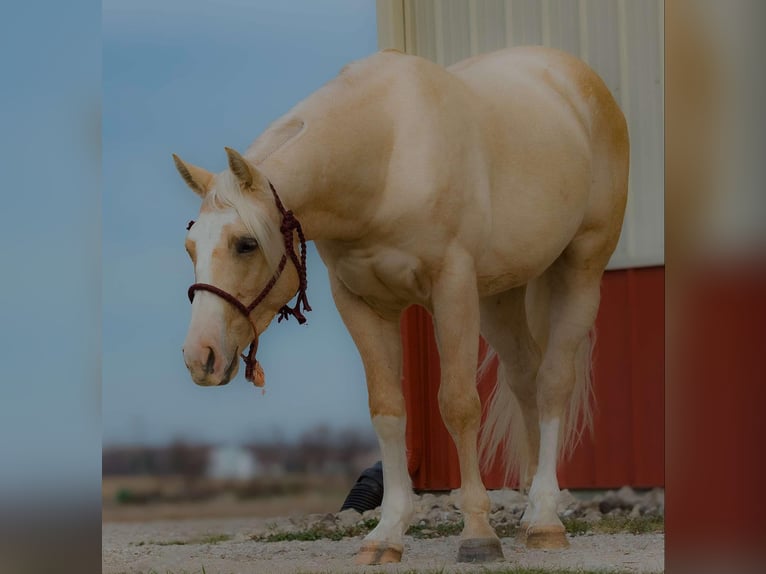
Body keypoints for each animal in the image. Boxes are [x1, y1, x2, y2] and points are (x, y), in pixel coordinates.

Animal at [176, 46, 632, 568]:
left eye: (246, 244)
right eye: (190, 246)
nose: (200, 356)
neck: (387, 159)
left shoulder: (452, 289)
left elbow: (458, 405)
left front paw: (477, 533)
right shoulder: (362, 304)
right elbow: (388, 410)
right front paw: (387, 534)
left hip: (580, 271)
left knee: (554, 382)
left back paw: (545, 521)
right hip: (499, 295)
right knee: (526, 380)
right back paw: (532, 515)